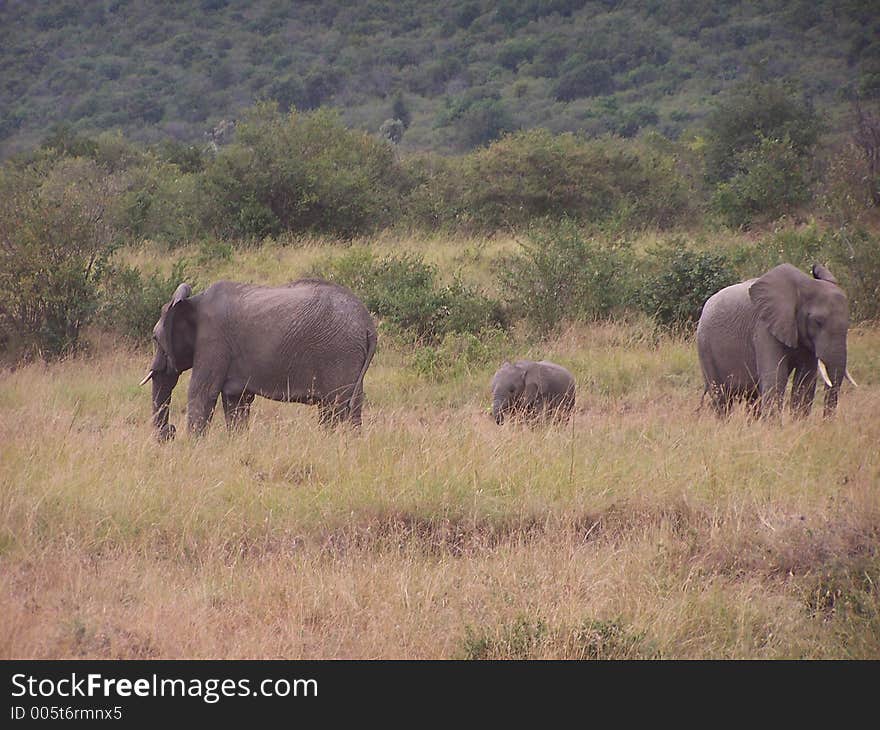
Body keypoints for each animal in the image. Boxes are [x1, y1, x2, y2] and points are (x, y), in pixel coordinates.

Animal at [141, 278, 378, 438]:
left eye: (155, 338)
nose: (169, 432)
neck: (192, 302)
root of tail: (368, 325)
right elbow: (236, 401)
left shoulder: (213, 341)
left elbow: (201, 394)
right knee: (351, 408)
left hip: (339, 354)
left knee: (334, 406)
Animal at [696, 264, 856, 418]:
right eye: (817, 322)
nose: (826, 422)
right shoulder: (763, 327)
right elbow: (776, 378)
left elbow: (805, 381)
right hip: (705, 346)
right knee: (721, 397)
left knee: (752, 398)